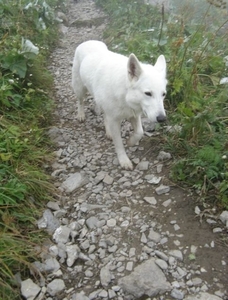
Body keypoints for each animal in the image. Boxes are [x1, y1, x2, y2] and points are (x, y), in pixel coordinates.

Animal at [71, 40, 167, 170]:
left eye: (163, 94)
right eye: (148, 93)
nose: (162, 119)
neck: (125, 94)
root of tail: (88, 41)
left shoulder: (134, 115)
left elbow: (140, 132)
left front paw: (130, 142)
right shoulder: (115, 120)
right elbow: (119, 144)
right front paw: (124, 160)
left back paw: (108, 132)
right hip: (80, 89)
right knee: (80, 102)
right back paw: (81, 115)